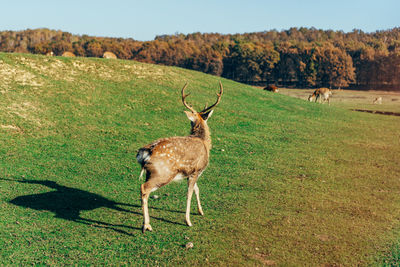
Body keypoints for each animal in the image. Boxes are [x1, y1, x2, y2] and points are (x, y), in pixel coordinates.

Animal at [134, 82, 222, 233]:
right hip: (163, 173)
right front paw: (188, 221)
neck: (204, 143)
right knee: (144, 188)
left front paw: (200, 211)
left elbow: (197, 189)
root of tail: (146, 152)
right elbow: (189, 194)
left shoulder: (190, 172)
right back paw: (146, 225)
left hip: (150, 173)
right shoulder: (196, 170)